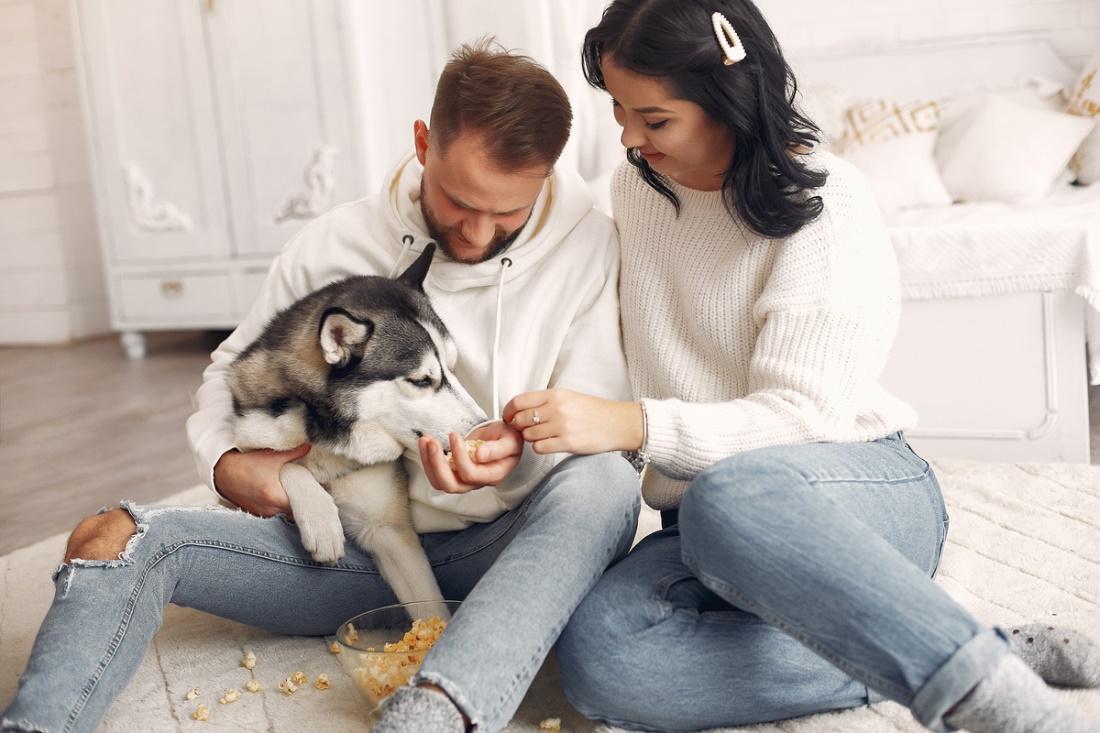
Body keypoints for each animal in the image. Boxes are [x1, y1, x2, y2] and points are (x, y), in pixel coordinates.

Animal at [227, 245, 486, 616]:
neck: (327, 438)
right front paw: (321, 519)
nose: (484, 426)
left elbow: (431, 607)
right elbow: (287, 465)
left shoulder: (389, 531)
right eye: (422, 380)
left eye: (452, 368)